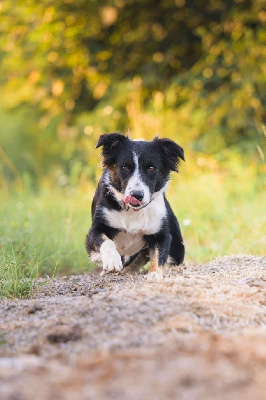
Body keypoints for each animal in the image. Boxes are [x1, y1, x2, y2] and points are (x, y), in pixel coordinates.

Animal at [85, 133, 185, 280]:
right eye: (125, 167)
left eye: (151, 168)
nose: (137, 195)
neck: (132, 211)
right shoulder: (96, 228)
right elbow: (106, 241)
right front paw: (111, 261)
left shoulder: (161, 233)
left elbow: (158, 254)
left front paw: (154, 273)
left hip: (178, 246)